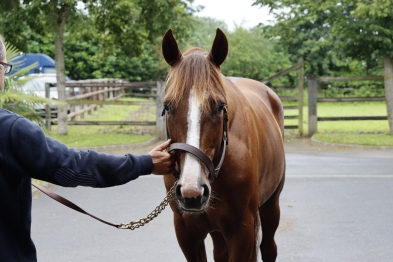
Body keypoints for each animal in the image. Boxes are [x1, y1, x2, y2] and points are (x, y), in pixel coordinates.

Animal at [161, 28, 284, 262]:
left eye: (220, 106)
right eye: (167, 106)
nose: (192, 191)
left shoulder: (242, 230)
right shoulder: (187, 232)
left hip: (271, 205)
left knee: (269, 247)